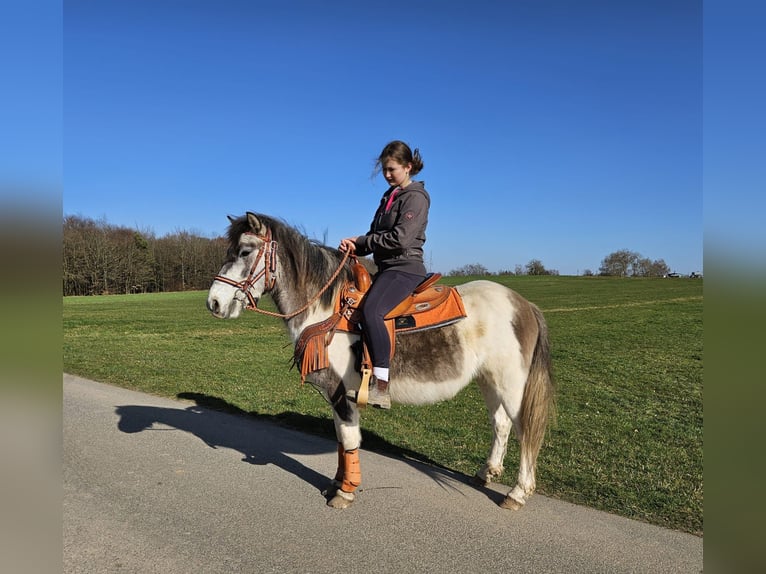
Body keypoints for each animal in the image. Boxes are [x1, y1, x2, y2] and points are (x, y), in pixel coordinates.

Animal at [207, 212, 555, 510]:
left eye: (244, 251)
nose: (213, 303)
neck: (327, 309)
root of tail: (524, 305)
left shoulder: (341, 392)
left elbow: (349, 439)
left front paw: (346, 492)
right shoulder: (337, 395)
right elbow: (340, 441)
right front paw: (337, 483)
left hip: (511, 384)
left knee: (524, 431)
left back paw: (517, 493)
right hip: (489, 380)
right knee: (501, 424)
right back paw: (486, 473)